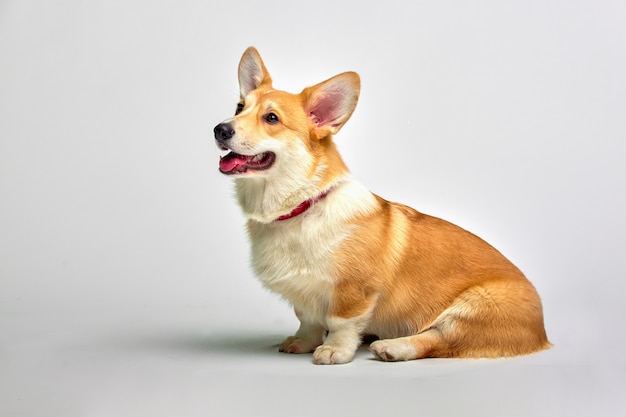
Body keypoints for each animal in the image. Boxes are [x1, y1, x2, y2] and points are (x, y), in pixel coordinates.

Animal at [213, 47, 544, 362]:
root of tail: (543, 332)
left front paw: (334, 351)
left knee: (438, 339)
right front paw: (302, 343)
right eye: (239, 108)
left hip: (471, 308)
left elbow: (340, 323)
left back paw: (393, 347)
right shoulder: (304, 297)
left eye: (271, 118)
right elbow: (307, 321)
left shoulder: (352, 291)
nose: (219, 129)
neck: (300, 208)